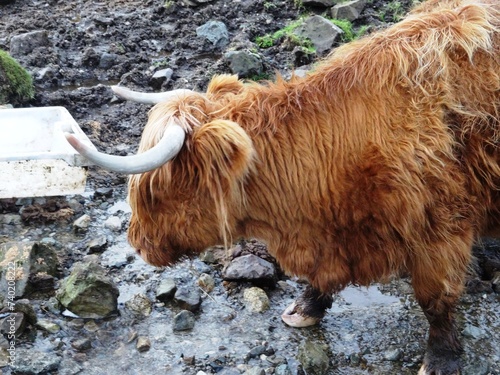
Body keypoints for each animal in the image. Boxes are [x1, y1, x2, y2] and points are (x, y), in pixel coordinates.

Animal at [67, 1, 500, 374]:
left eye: (155, 193)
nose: (137, 244)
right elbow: (321, 282)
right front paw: (305, 309)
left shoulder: (440, 229)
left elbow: (435, 297)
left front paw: (441, 359)